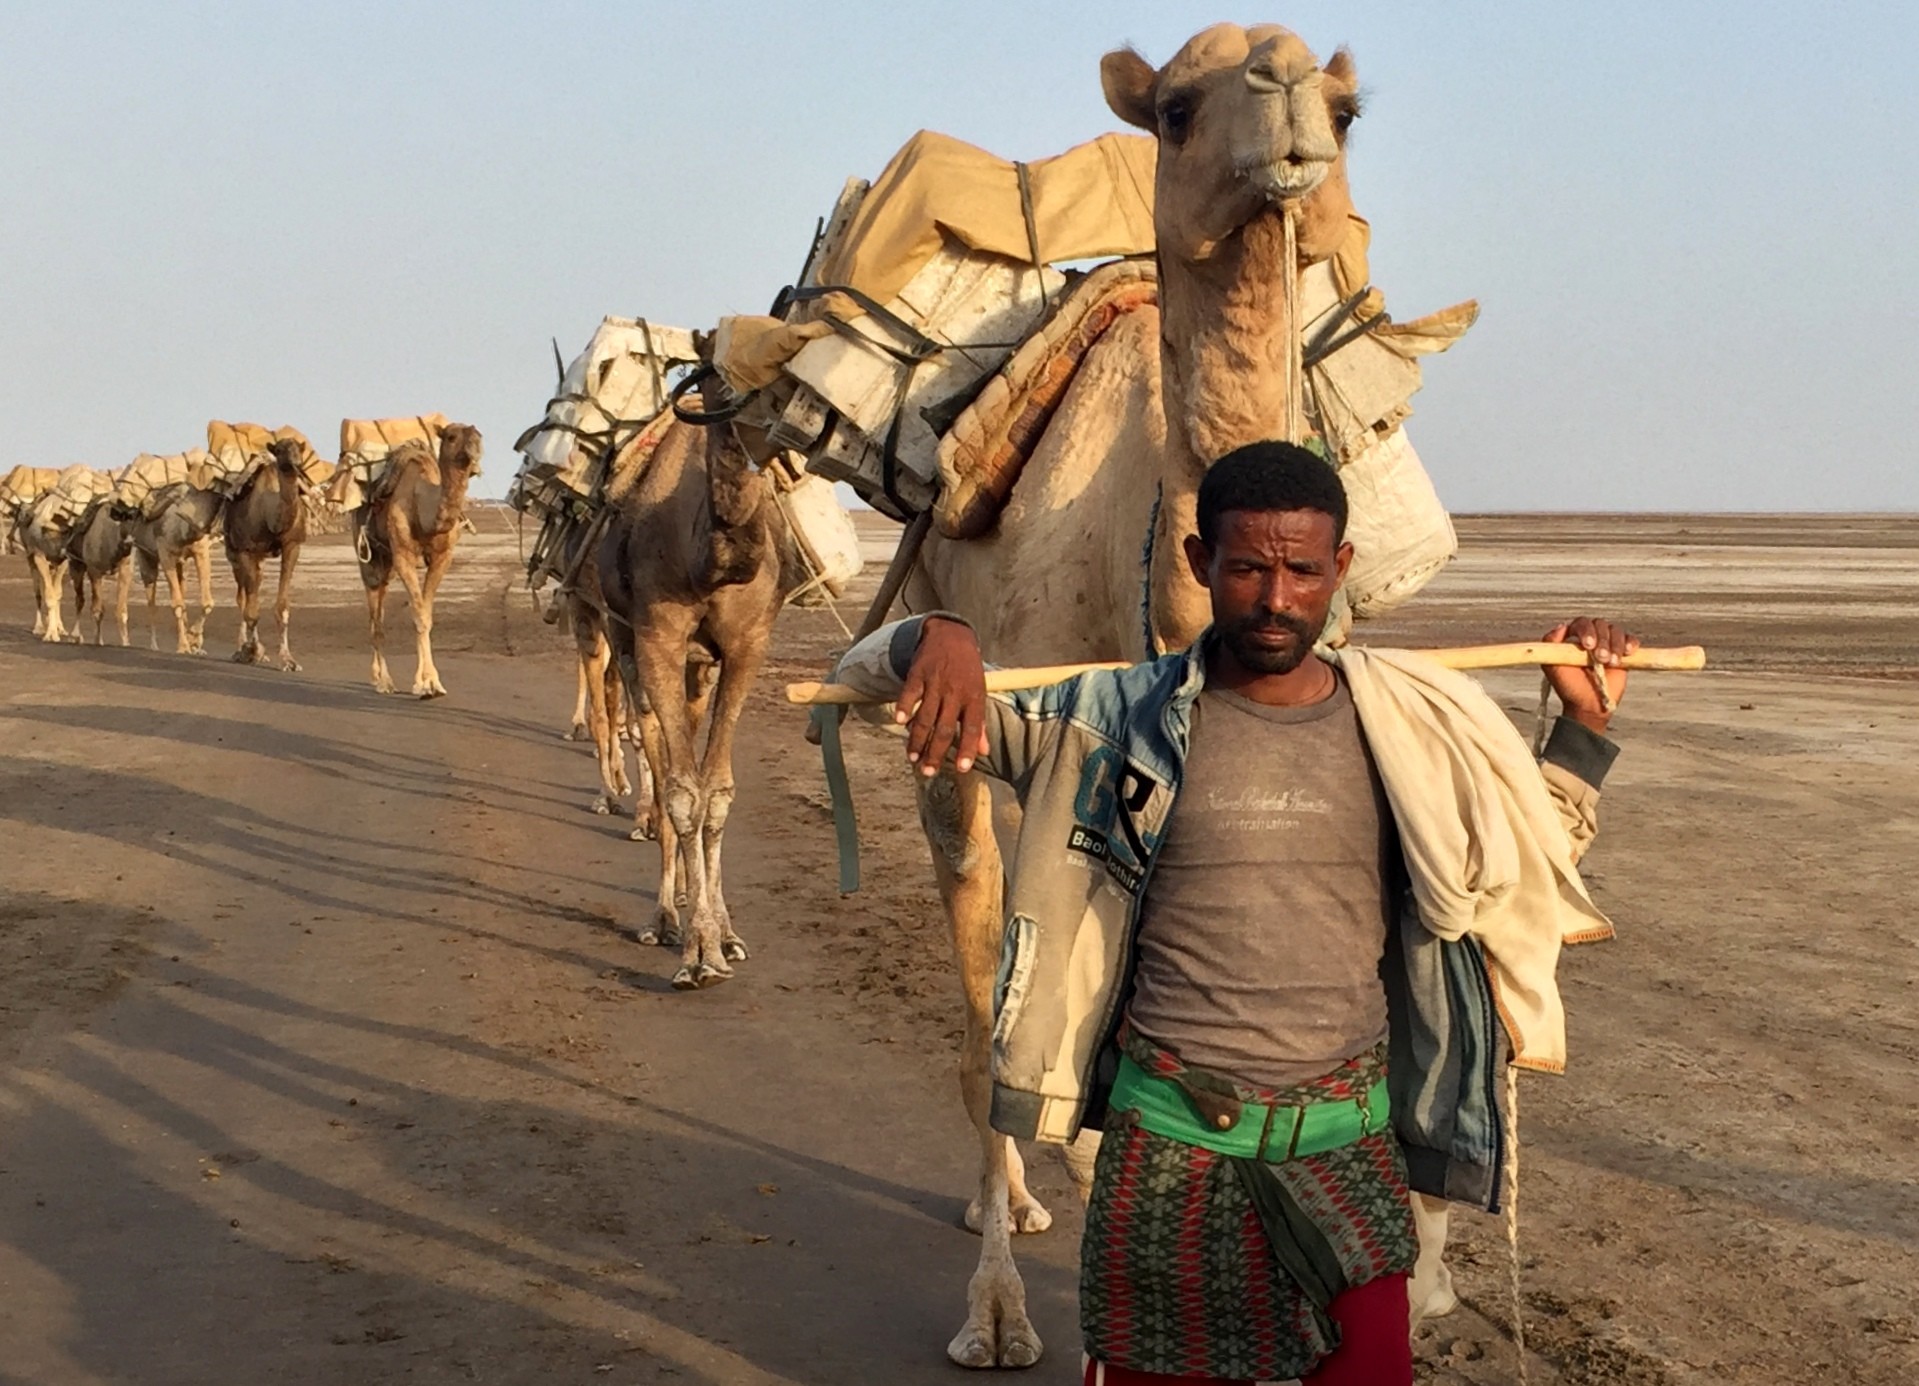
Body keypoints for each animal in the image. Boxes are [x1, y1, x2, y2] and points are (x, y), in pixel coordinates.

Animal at [225, 433, 310, 668]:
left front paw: (289, 660)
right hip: (234, 555)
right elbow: (251, 610)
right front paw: (252, 651)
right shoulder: (246, 550)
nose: (295, 464)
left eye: (299, 449)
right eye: (280, 450)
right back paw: (242, 649)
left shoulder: (293, 546)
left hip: (260, 560)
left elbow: (282, 607)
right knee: (243, 598)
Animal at [355, 420, 487, 694]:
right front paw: (425, 685)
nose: (475, 449)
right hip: (368, 557)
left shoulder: (442, 558)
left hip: (387, 563)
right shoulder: (403, 555)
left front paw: (431, 681)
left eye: (479, 435)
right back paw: (382, 681)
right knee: (375, 618)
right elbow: (418, 616)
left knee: (381, 605)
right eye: (451, 436)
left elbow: (426, 614)